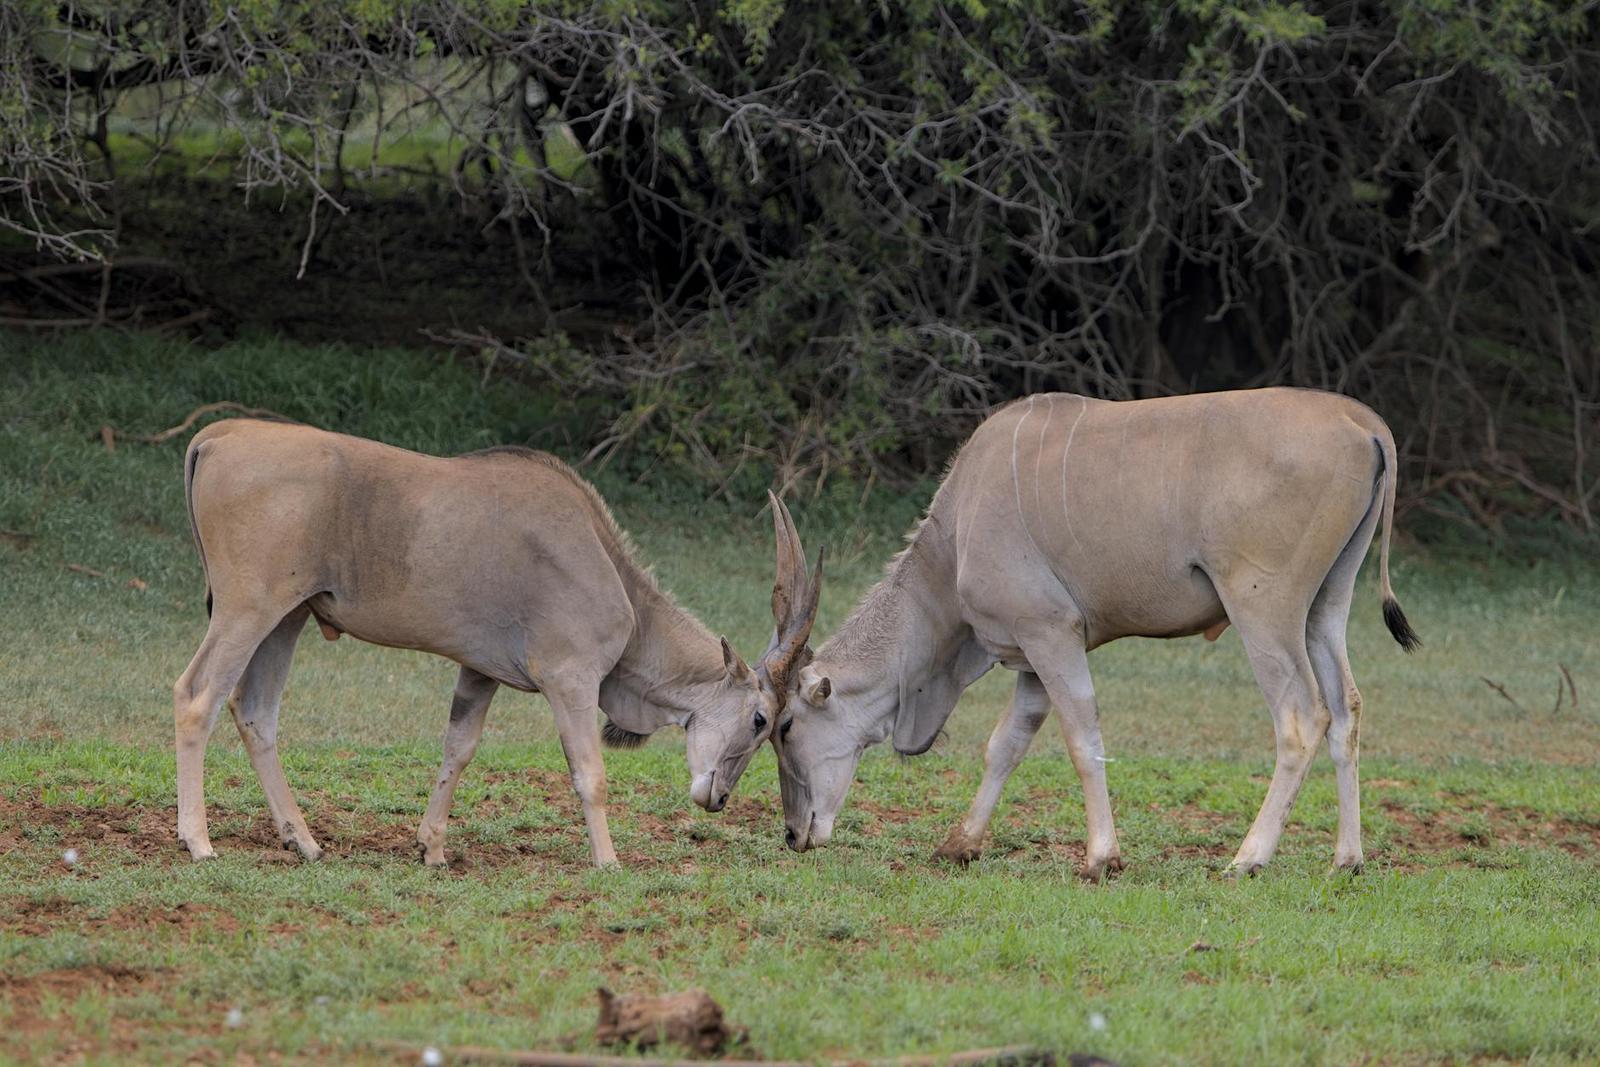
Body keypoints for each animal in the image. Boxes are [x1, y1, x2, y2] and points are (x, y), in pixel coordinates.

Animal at [173, 420, 820, 867]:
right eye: (762, 720)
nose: (718, 799)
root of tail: (217, 436)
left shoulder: (478, 672)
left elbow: (458, 748)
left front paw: (431, 848)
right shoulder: (570, 678)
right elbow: (590, 772)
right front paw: (608, 861)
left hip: (287, 619)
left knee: (255, 712)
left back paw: (303, 840)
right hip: (246, 610)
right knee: (197, 697)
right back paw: (198, 841)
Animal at [732, 389, 1420, 878]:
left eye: (785, 726)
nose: (794, 834)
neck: (955, 538)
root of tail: (1363, 422)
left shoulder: (1050, 634)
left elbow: (1081, 734)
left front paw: (1101, 858)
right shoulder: (1033, 658)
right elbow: (1006, 744)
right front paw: (960, 844)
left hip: (1263, 607)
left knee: (1302, 717)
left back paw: (1248, 858)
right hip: (1325, 607)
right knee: (1347, 707)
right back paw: (1347, 859)